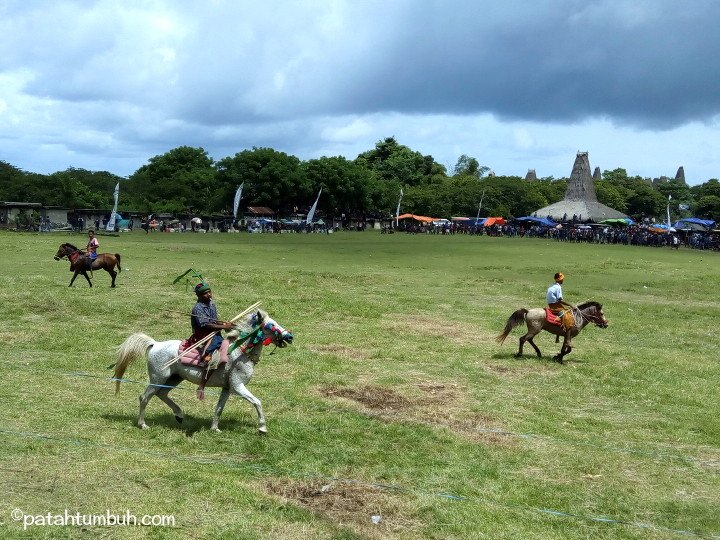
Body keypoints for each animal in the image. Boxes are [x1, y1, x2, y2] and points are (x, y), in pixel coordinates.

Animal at [112, 310, 292, 432]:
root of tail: (155, 344)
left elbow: (219, 408)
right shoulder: (238, 386)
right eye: (271, 325)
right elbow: (257, 402)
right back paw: (143, 424)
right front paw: (262, 428)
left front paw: (214, 428)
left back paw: (179, 415)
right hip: (158, 378)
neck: (239, 352)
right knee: (145, 397)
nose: (289, 337)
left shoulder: (227, 388)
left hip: (173, 378)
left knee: (161, 394)